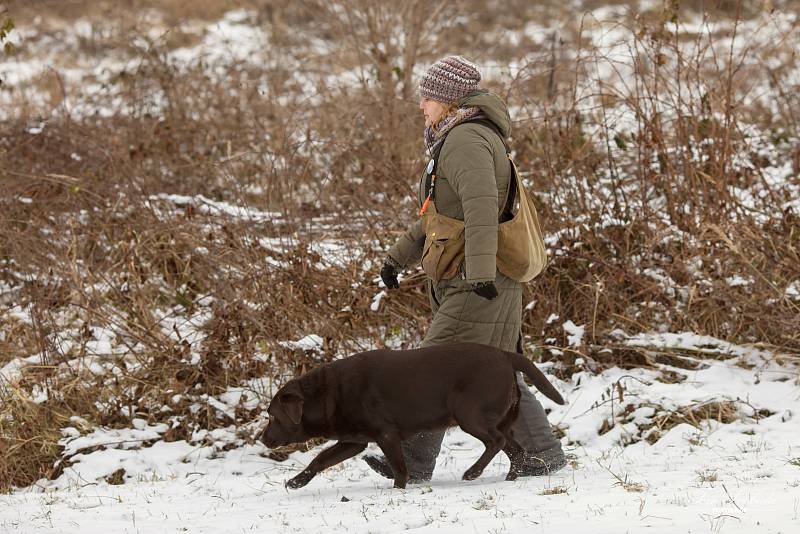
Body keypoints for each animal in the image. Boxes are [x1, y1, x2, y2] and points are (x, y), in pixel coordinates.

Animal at [260, 344, 564, 490]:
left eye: (272, 417)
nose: (262, 439)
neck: (328, 394)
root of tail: (504, 354)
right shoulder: (353, 441)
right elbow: (320, 460)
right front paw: (297, 482)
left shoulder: (386, 434)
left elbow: (400, 468)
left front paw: (398, 490)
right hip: (499, 418)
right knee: (517, 449)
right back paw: (510, 478)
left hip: (469, 414)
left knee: (497, 442)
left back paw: (473, 472)